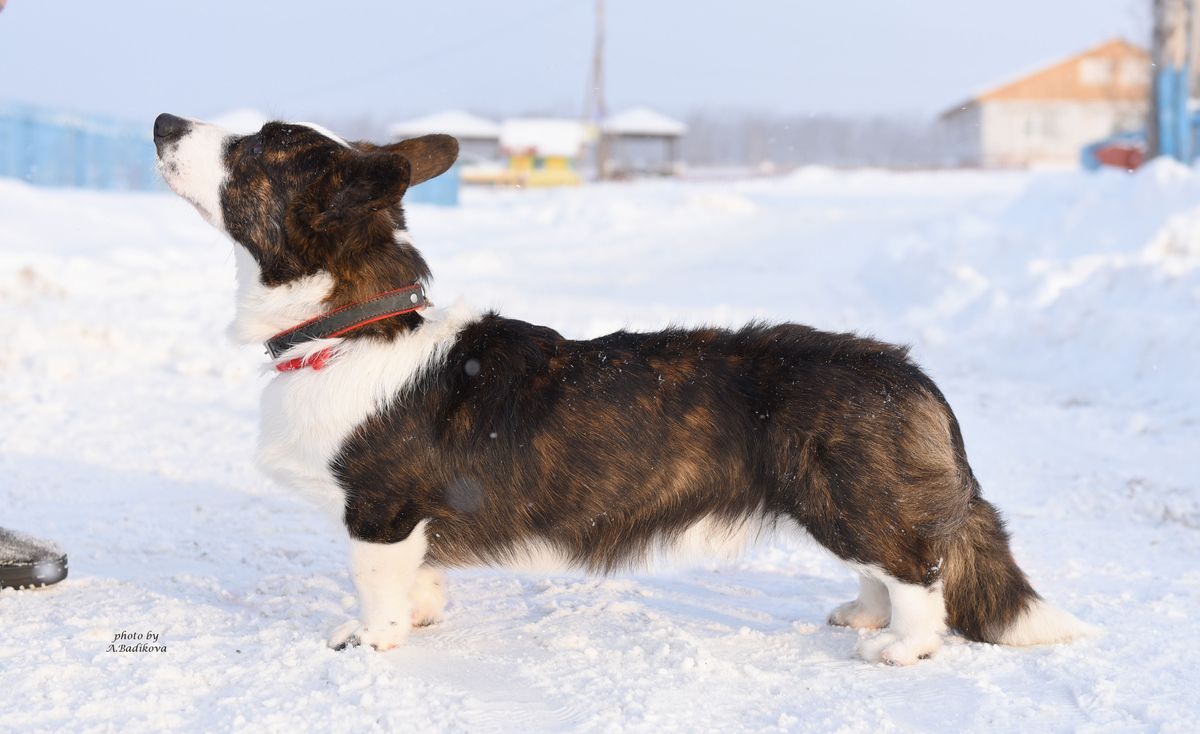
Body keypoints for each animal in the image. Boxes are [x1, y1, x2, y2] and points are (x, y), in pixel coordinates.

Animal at [154, 113, 1094, 666]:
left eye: (250, 150)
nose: (164, 119)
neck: (351, 324)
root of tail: (911, 374)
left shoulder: (378, 511)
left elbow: (376, 586)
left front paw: (374, 638)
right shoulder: (404, 524)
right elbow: (419, 581)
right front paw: (423, 616)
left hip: (845, 497)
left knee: (918, 572)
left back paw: (901, 648)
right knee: (888, 568)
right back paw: (863, 619)